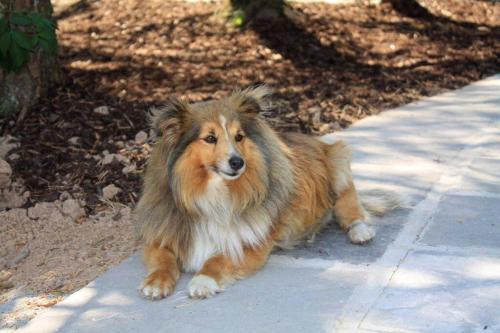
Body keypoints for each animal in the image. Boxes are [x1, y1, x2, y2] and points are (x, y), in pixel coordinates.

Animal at [134, 85, 398, 298]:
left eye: (239, 137)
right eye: (209, 138)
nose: (237, 162)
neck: (215, 193)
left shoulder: (252, 243)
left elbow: (218, 258)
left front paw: (203, 281)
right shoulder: (163, 232)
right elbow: (163, 258)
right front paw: (156, 283)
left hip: (339, 162)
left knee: (351, 209)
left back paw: (360, 231)